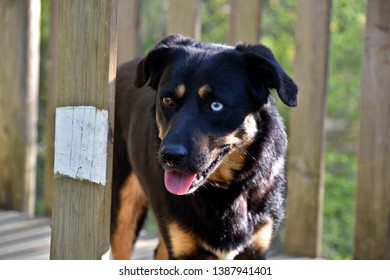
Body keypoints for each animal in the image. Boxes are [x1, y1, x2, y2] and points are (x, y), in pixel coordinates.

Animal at [110, 35, 298, 260]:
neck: (225, 190)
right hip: (123, 211)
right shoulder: (183, 249)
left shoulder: (255, 249)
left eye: (216, 105)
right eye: (167, 100)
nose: (170, 156)